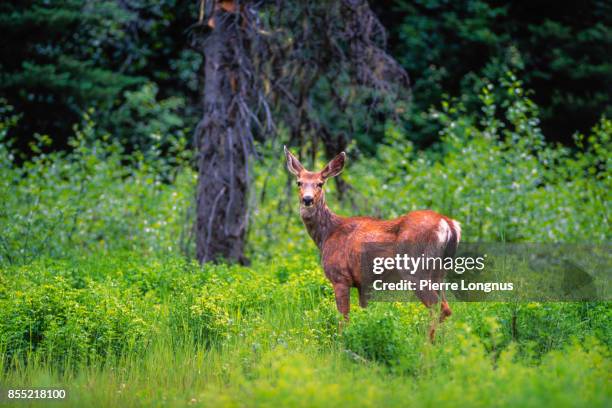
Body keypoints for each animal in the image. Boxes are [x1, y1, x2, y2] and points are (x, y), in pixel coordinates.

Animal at [282, 147, 460, 342]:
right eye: (299, 182)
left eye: (320, 183)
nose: (307, 199)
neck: (327, 234)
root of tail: (448, 224)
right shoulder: (364, 283)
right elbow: (365, 313)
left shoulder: (340, 277)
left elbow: (344, 318)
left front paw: (341, 343)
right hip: (439, 272)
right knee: (446, 307)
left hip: (415, 268)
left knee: (439, 307)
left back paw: (426, 344)